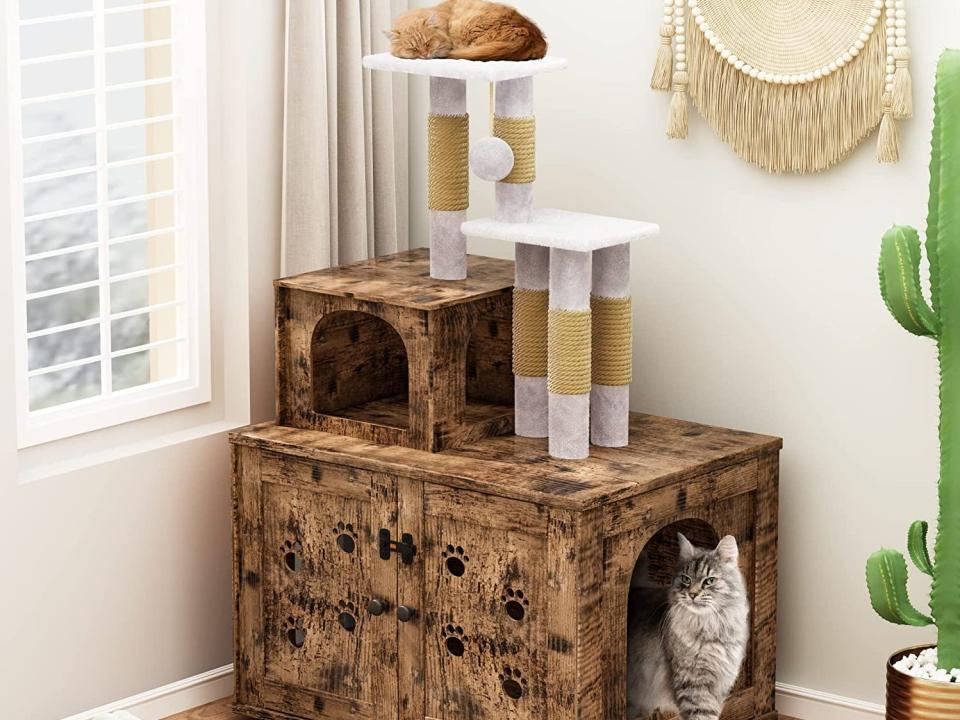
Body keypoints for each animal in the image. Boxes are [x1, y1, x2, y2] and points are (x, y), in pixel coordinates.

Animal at [628, 536, 752, 720]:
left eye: (709, 581)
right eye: (686, 579)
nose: (692, 594)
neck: (710, 626)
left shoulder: (719, 684)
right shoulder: (693, 685)